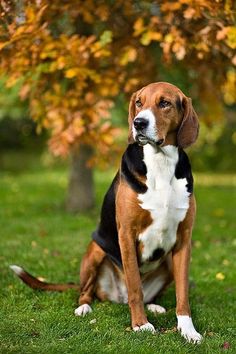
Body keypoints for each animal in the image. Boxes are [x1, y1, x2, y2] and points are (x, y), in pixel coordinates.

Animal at [10, 81, 203, 342]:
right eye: (139, 103)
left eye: (165, 103)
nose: (138, 123)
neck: (160, 162)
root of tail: (115, 297)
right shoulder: (127, 234)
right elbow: (135, 287)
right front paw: (140, 324)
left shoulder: (183, 239)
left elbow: (182, 294)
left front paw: (188, 330)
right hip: (95, 249)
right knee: (88, 291)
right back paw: (84, 307)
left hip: (168, 263)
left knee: (148, 293)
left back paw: (154, 306)